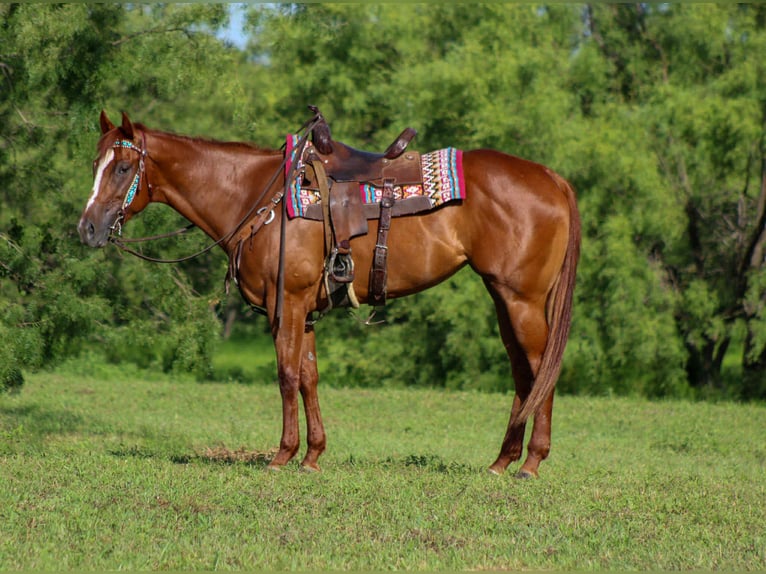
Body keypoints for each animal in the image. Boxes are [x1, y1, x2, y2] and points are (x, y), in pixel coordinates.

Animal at [78, 110, 581, 478]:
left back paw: (531, 462)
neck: (256, 198)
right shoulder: (305, 310)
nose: (87, 229)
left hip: (521, 300)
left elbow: (286, 376)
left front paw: (282, 455)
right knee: (523, 373)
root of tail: (552, 177)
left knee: (541, 369)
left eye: (123, 167)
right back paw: (502, 461)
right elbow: (309, 377)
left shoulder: (287, 304)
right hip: (504, 298)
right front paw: (313, 455)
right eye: (95, 165)